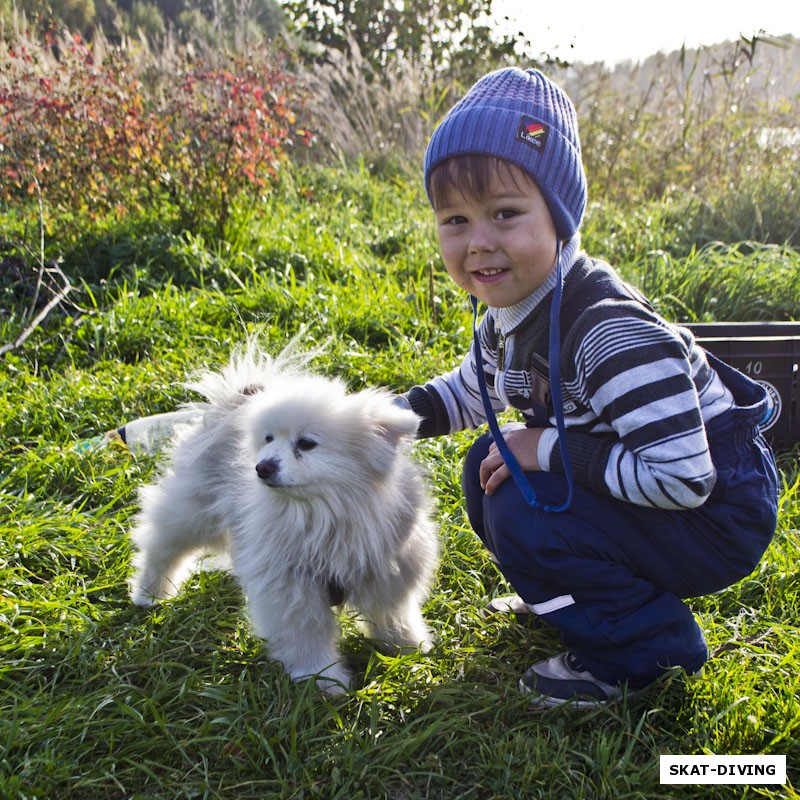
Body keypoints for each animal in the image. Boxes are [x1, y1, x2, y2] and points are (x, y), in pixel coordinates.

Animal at [130, 344, 438, 692]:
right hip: (192, 512)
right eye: (268, 439)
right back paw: (150, 594)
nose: (261, 467)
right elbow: (306, 637)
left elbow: (392, 615)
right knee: (162, 548)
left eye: (306, 443)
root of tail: (239, 397)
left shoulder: (386, 572)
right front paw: (323, 680)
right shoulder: (292, 588)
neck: (321, 515)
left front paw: (408, 649)